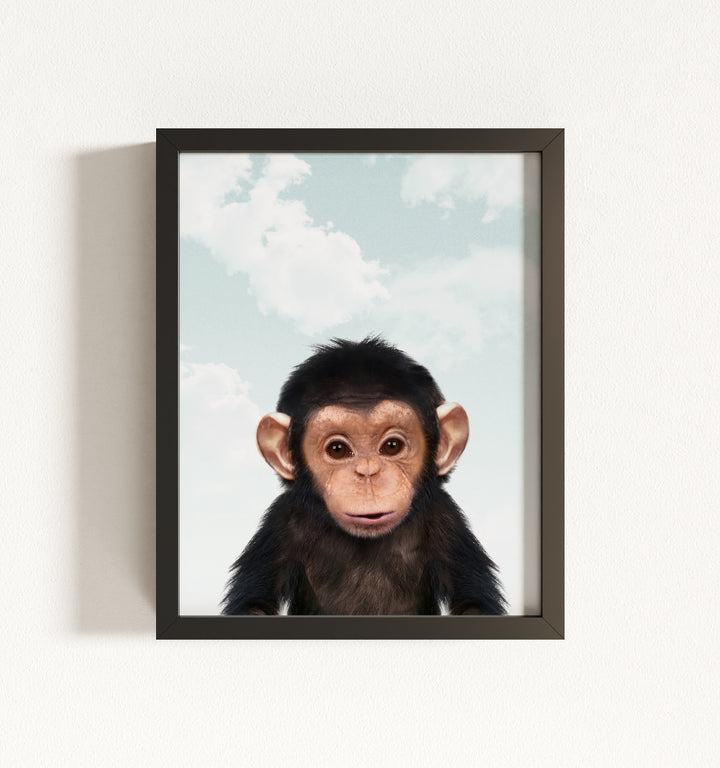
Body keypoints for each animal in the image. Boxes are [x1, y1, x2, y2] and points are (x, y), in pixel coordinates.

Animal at [222, 336, 506, 616]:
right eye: (337, 449)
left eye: (392, 446)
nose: (368, 473)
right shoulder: (280, 522)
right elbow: (255, 603)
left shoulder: (446, 519)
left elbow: (473, 602)